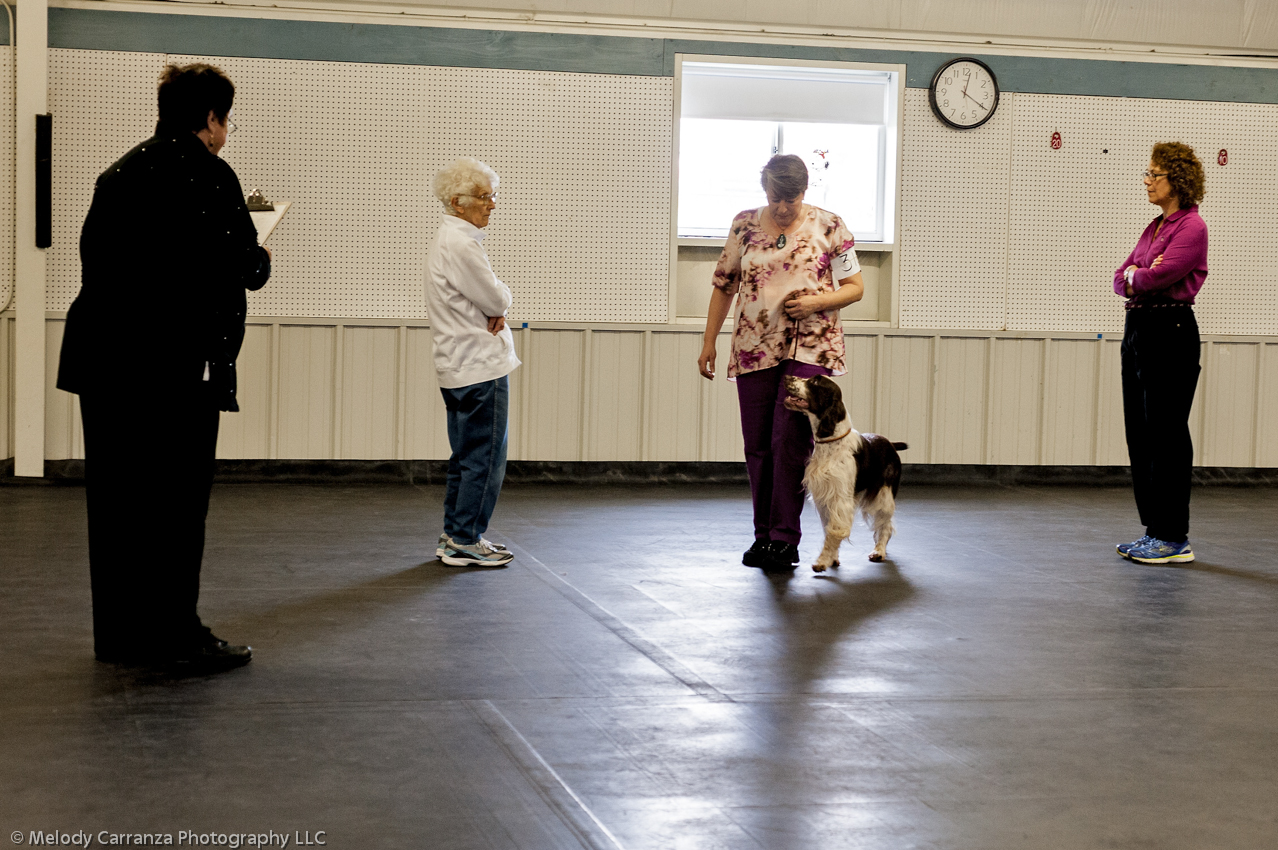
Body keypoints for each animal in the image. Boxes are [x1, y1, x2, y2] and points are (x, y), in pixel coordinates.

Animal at [777, 375, 909, 570]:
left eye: (815, 382)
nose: (787, 376)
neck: (831, 443)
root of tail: (891, 444)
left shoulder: (840, 498)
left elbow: (835, 531)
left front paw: (822, 561)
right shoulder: (824, 498)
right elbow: (829, 529)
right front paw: (832, 558)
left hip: (883, 496)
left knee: (885, 525)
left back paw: (879, 551)